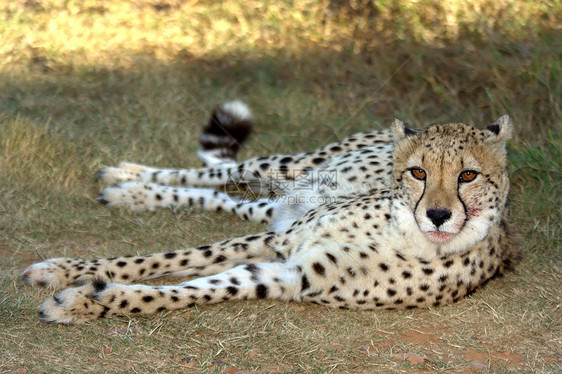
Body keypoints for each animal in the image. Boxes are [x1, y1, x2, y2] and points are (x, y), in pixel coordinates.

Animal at [23, 101, 520, 322]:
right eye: (419, 172)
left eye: (468, 176)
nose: (437, 214)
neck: (405, 234)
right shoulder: (281, 240)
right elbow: (164, 259)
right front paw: (64, 272)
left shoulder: (286, 274)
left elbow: (183, 289)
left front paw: (88, 300)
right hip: (294, 170)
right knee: (224, 172)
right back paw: (127, 177)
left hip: (283, 203)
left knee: (227, 198)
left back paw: (134, 191)